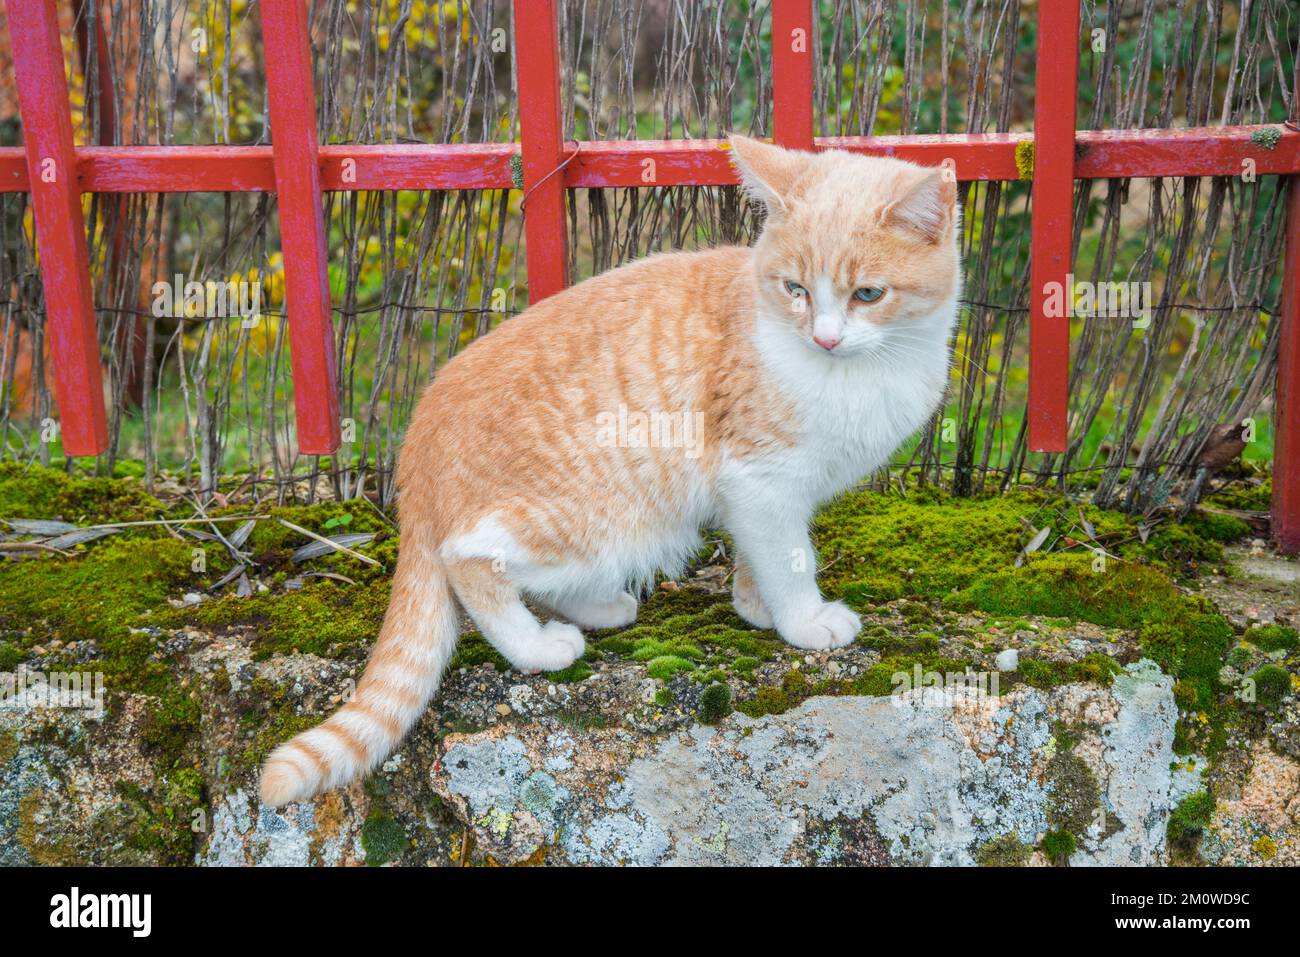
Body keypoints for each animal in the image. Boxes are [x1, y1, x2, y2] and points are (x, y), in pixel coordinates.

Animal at [258, 134, 961, 806]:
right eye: (796, 290)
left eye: (867, 294)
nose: (825, 338)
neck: (865, 369)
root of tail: (414, 463)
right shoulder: (760, 477)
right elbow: (790, 559)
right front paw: (803, 620)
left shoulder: (762, 495)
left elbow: (763, 553)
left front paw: (754, 604)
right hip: (612, 520)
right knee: (470, 560)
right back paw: (537, 646)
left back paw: (596, 608)